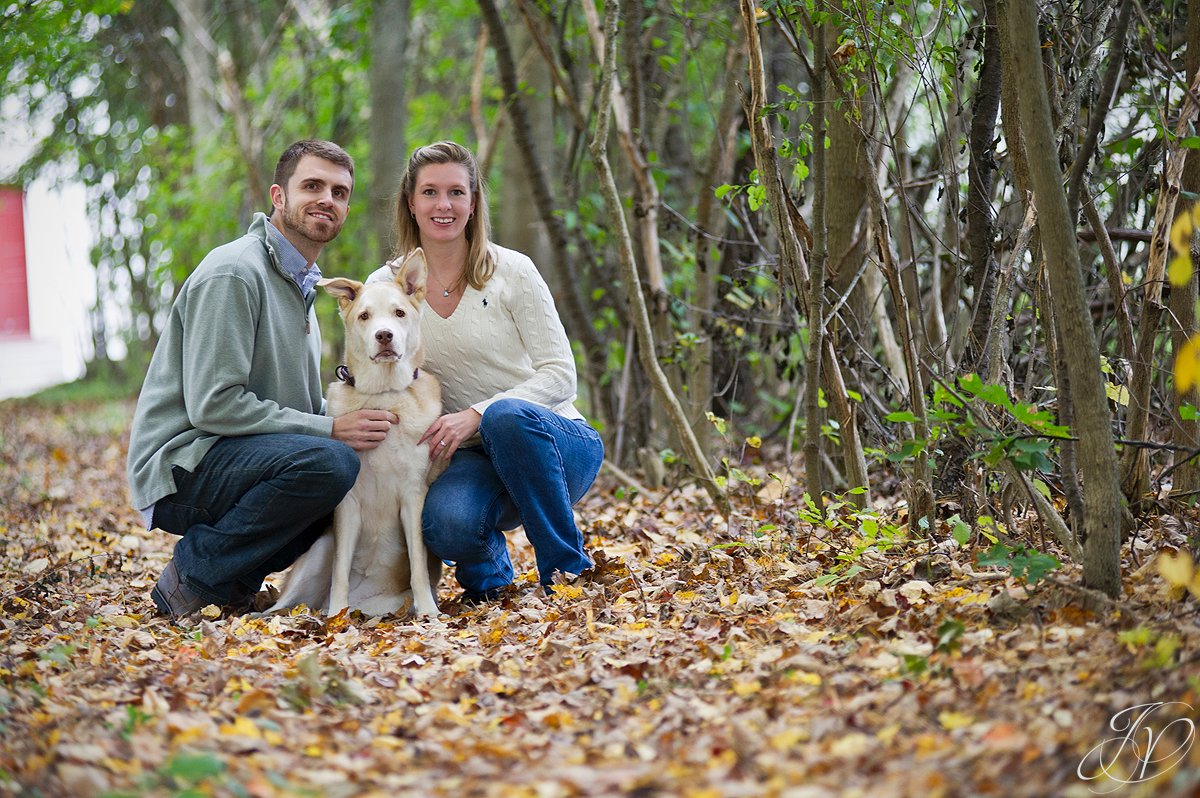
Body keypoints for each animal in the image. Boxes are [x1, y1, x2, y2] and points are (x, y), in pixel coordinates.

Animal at [270, 249, 444, 614]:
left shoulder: (413, 496)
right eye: (365, 316)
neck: (385, 395)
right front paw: (337, 615)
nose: (384, 335)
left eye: (399, 313)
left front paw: (429, 611)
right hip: (318, 551)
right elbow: (340, 570)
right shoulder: (347, 505)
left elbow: (419, 564)